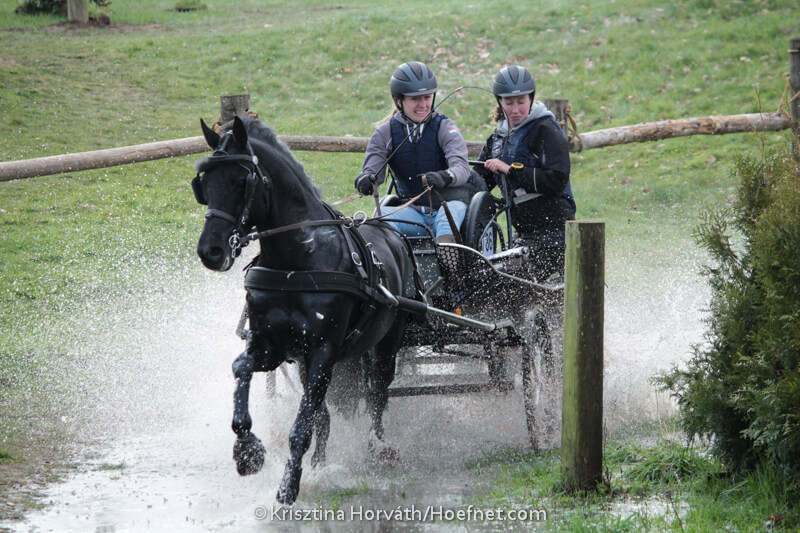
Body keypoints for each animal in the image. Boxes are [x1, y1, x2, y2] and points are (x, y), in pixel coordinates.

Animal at [193, 115, 419, 505]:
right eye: (203, 183)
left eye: (240, 181)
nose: (211, 251)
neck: (297, 260)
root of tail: (392, 232)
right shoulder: (272, 345)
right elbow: (241, 369)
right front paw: (248, 451)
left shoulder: (323, 353)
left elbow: (301, 428)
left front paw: (288, 487)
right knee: (328, 413)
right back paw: (321, 463)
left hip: (386, 344)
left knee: (377, 394)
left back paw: (377, 449)